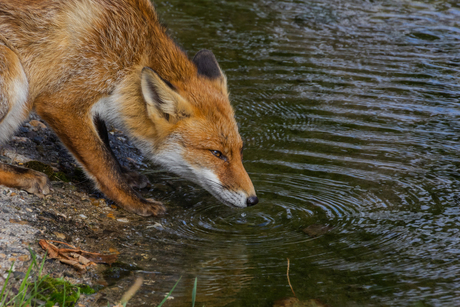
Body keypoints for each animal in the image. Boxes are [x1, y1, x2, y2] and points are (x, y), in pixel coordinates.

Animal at [0, 0, 256, 217]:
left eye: (241, 150)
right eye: (217, 153)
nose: (253, 200)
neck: (131, 51)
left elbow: (105, 143)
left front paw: (126, 176)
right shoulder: (60, 102)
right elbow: (102, 162)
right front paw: (133, 201)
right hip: (15, 74)